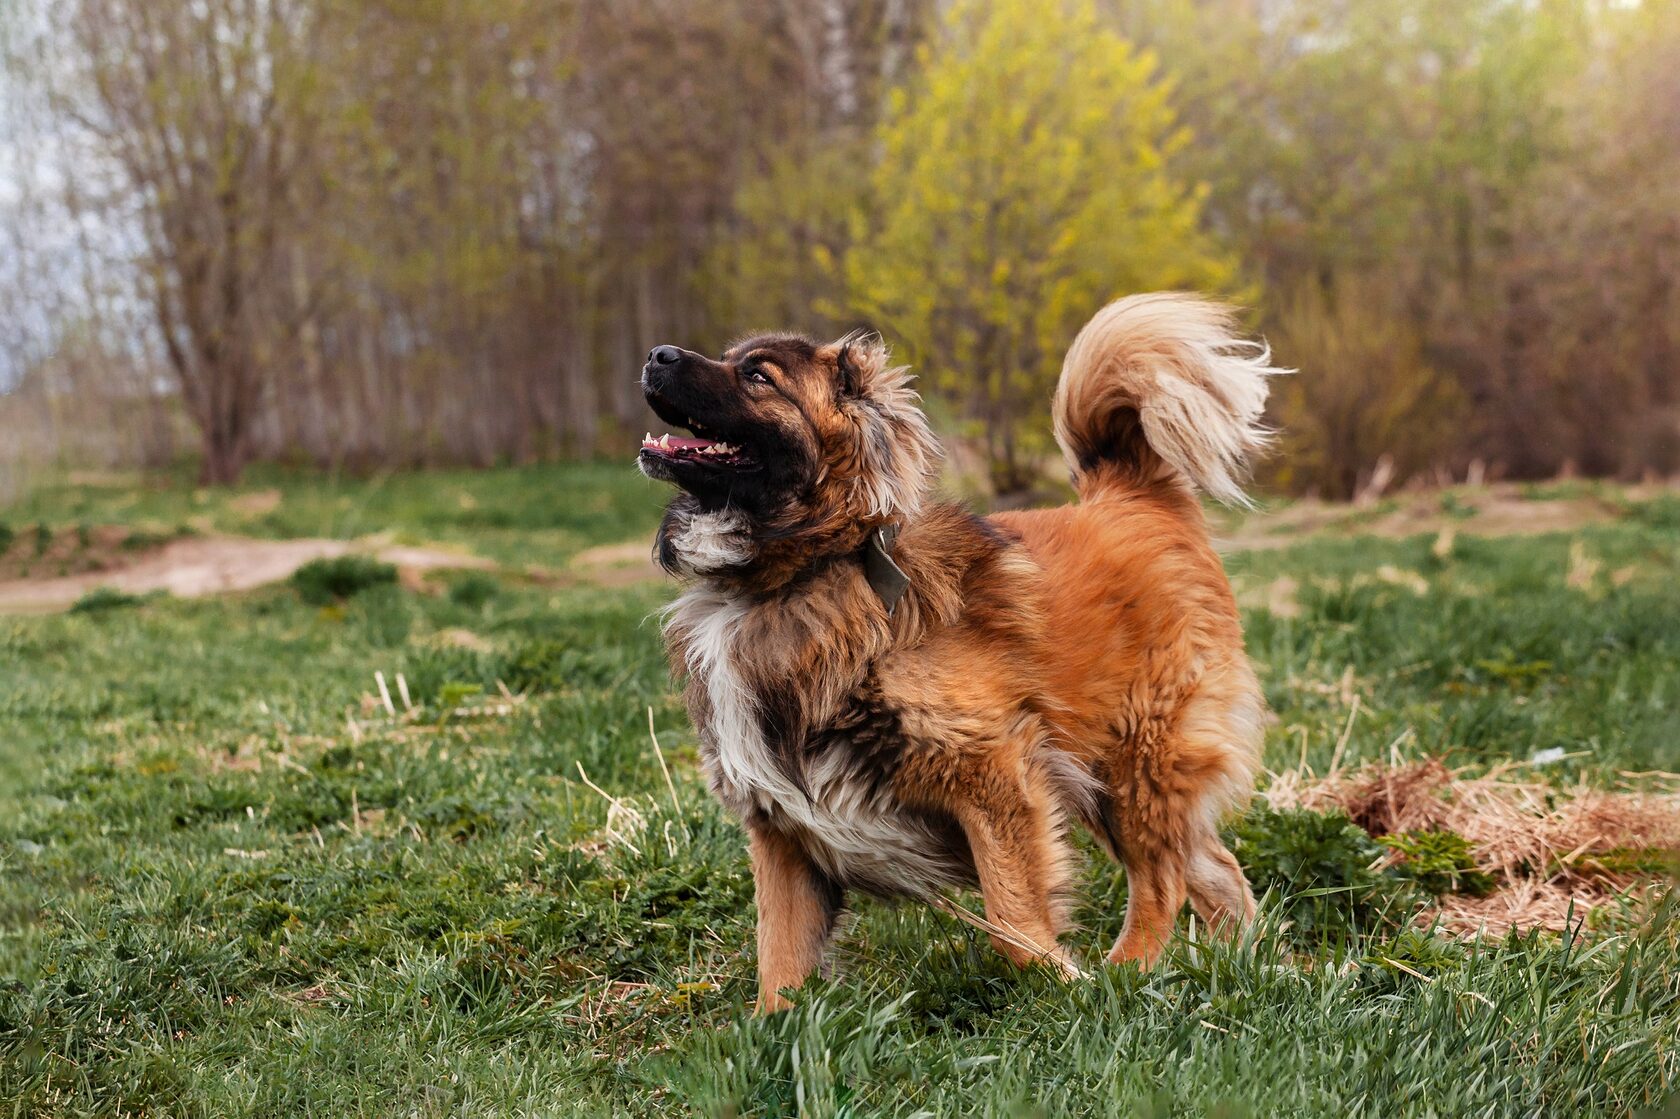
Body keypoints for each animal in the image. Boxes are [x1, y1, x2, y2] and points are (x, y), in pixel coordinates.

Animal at [635, 292, 1276, 1008]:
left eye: (757, 376)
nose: (656, 354)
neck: (795, 576)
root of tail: (1130, 493)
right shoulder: (782, 826)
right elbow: (779, 961)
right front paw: (776, 1026)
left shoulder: (995, 772)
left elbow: (1012, 920)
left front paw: (1064, 987)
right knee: (1217, 872)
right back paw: (1236, 970)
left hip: (1137, 760)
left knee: (1161, 882)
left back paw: (1125, 975)